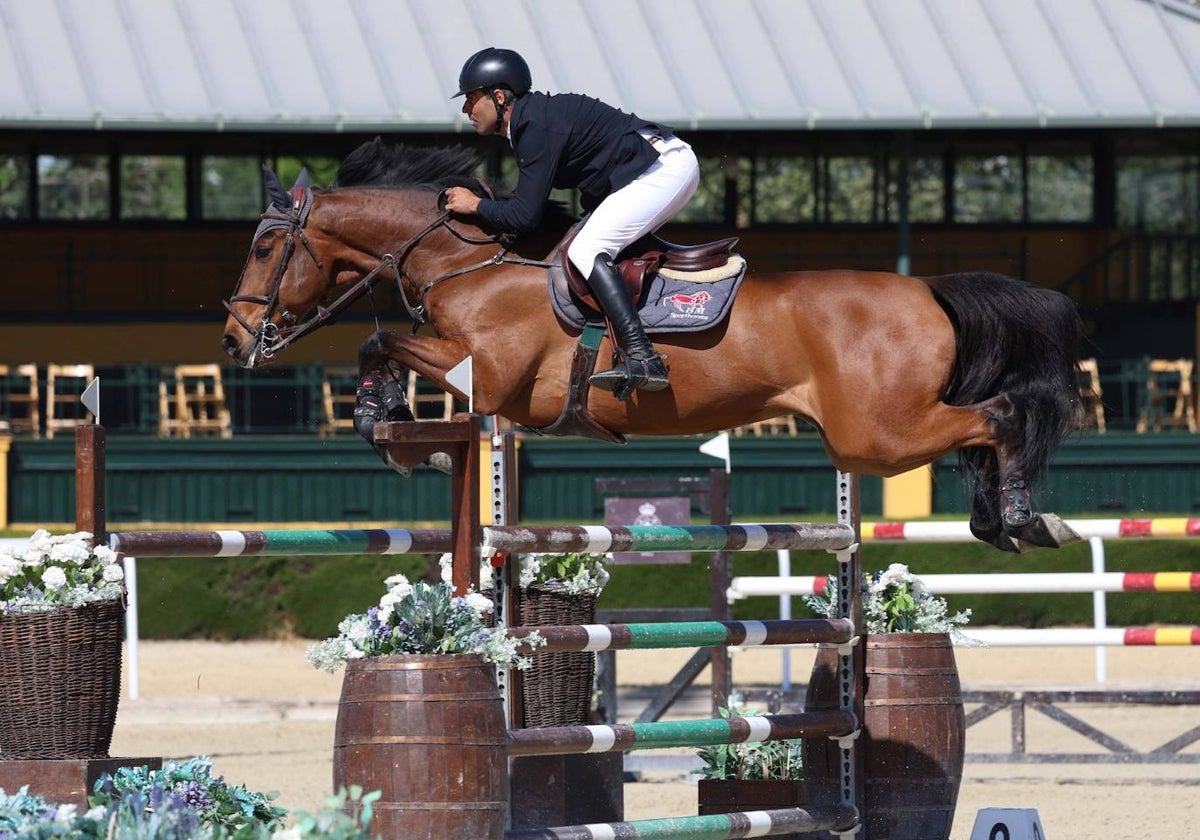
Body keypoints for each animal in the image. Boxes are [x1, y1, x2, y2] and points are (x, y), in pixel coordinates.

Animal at [223, 141, 1089, 554]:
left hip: (875, 433)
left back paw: (1021, 517)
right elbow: (380, 348)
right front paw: (395, 428)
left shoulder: (493, 379)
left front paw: (388, 425)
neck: (471, 259)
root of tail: (928, 288)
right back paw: (1004, 519)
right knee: (984, 425)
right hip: (875, 430)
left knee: (1001, 416)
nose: (234, 339)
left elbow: (380, 341)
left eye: (265, 246)